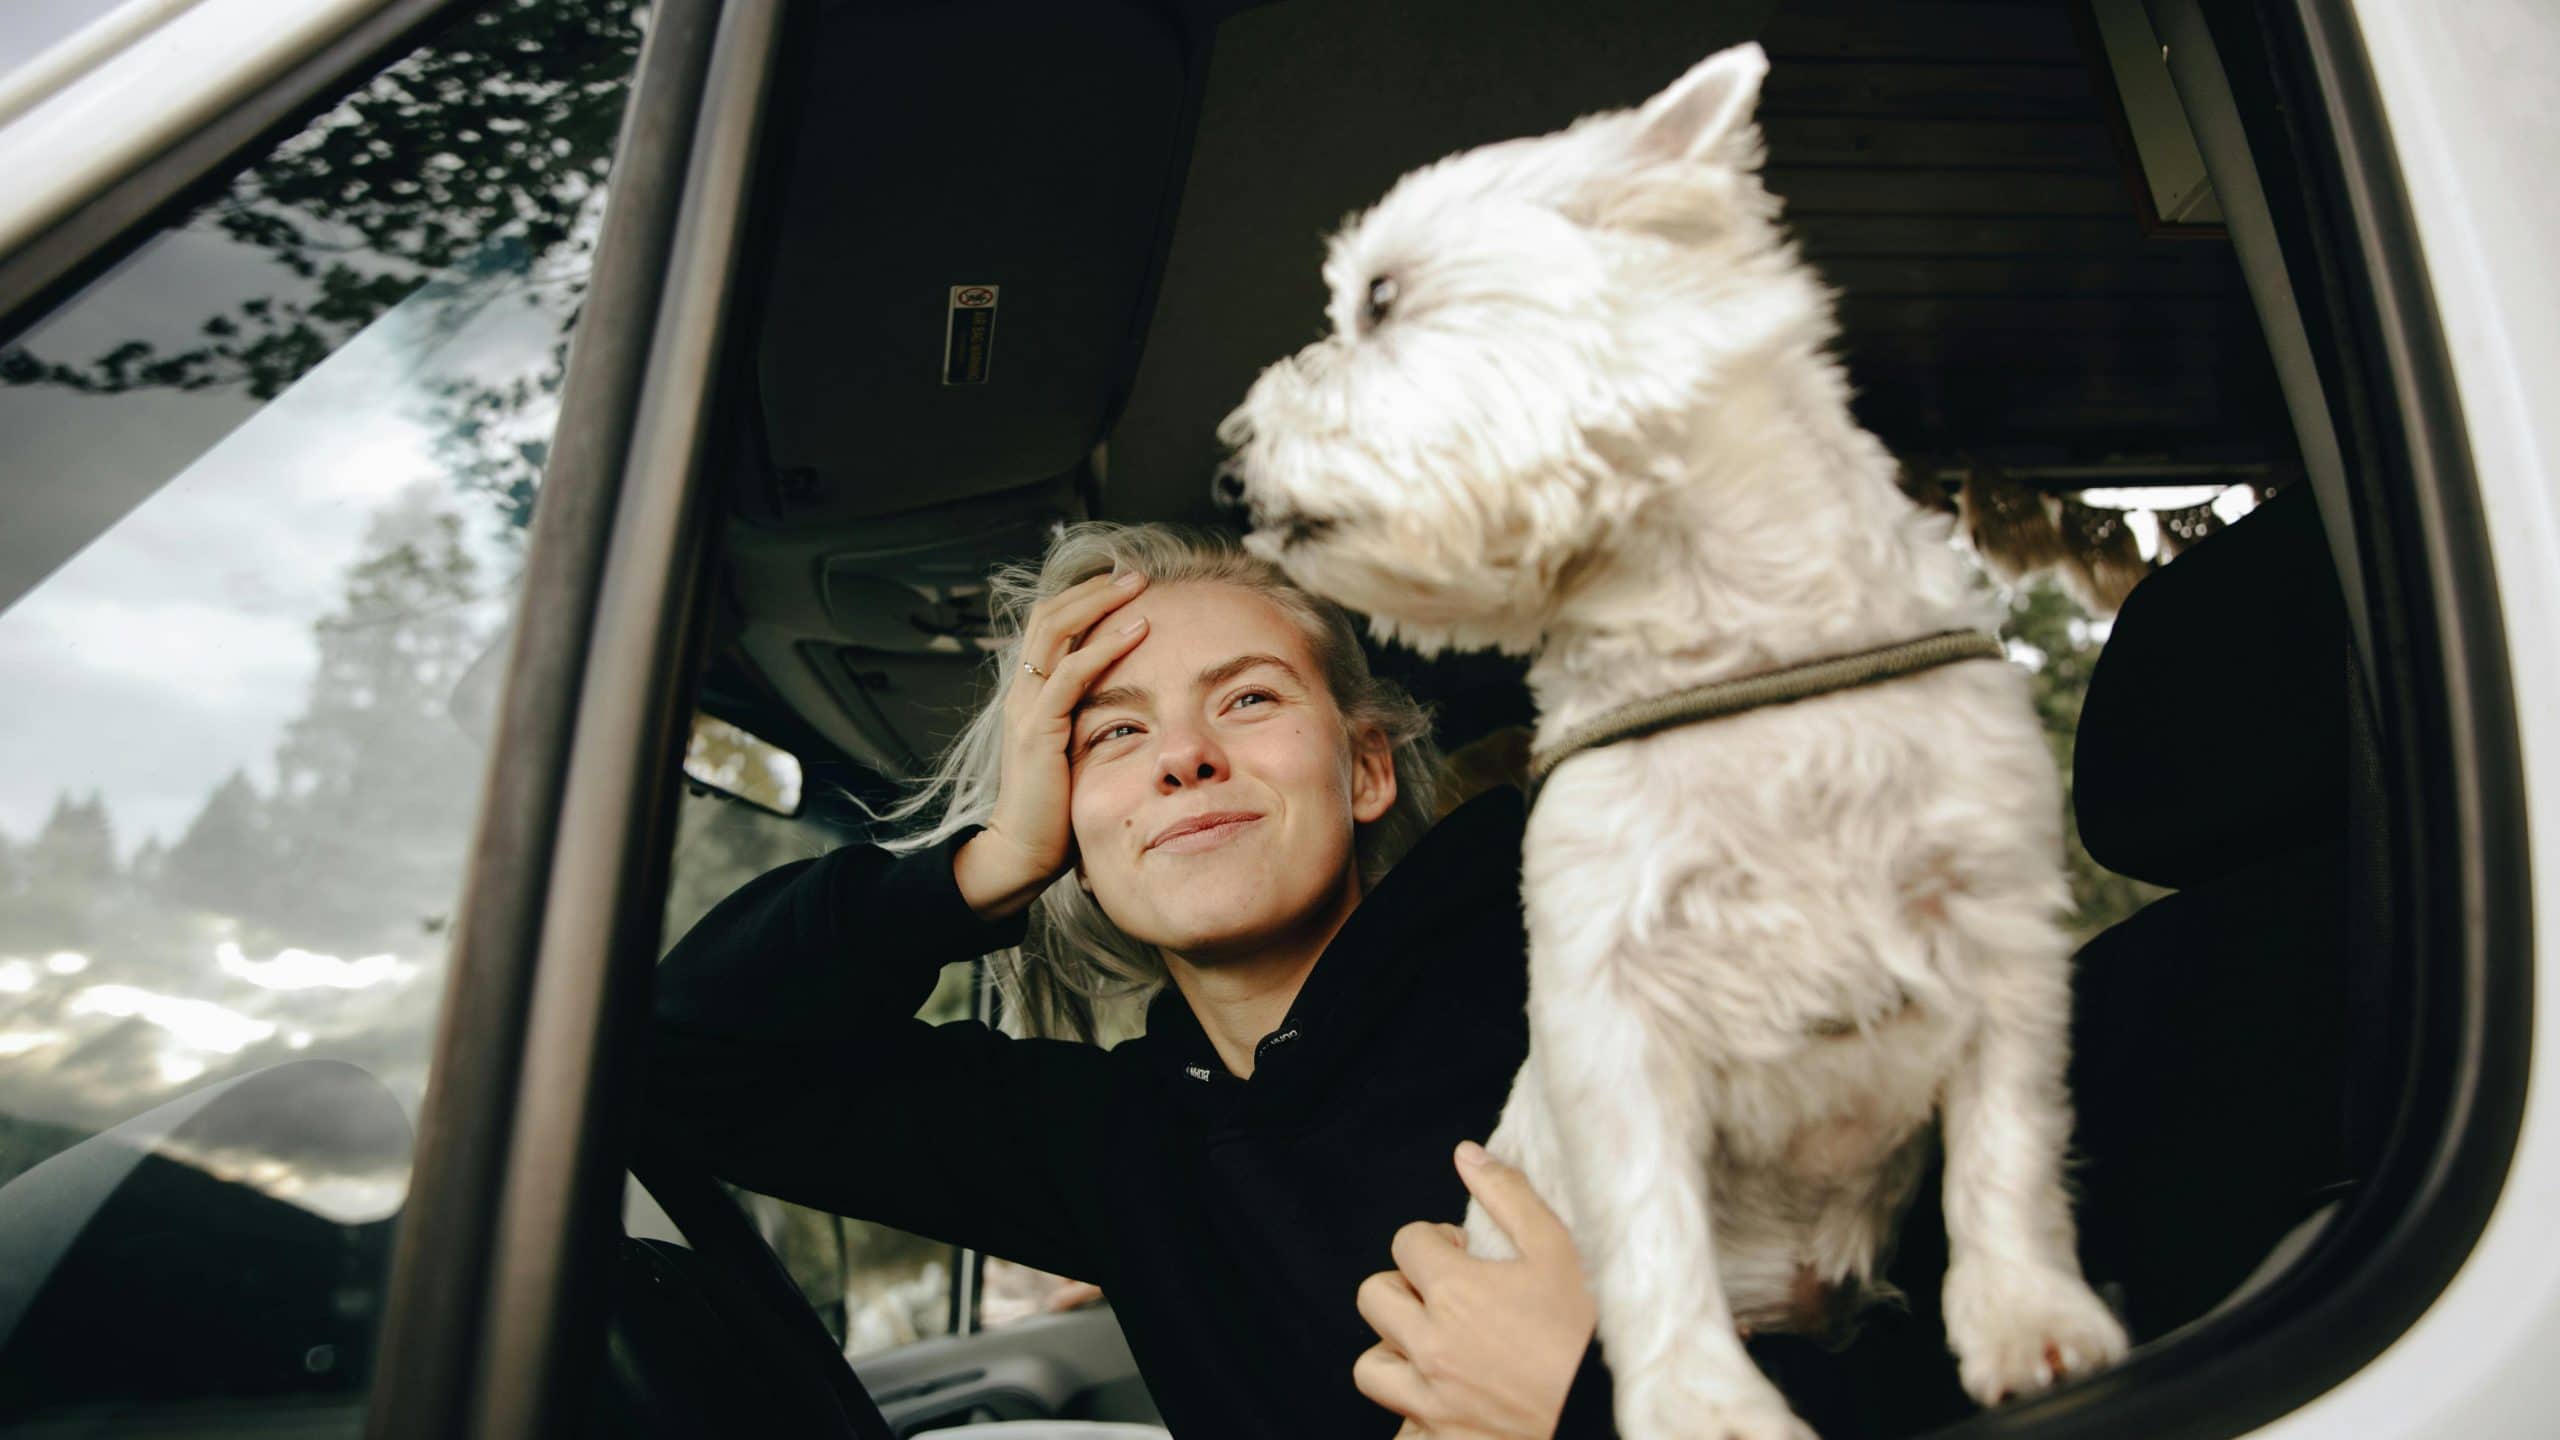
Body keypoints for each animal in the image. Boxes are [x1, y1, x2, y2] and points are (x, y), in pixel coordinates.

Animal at [1218, 39, 2119, 1424]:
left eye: (1379, 296)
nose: (1230, 463)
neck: (1732, 651)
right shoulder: (1608, 997)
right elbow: (1648, 1226)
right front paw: (1704, 1406)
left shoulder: (2000, 928)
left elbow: (2007, 1152)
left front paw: (2032, 1321)